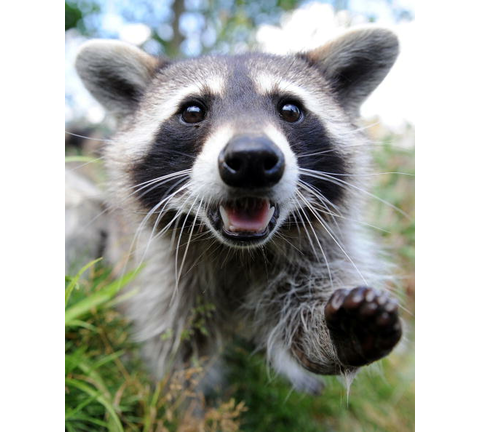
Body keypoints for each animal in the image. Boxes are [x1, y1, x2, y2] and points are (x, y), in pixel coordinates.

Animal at [75, 26, 404, 392]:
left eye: (291, 110)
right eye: (193, 111)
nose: (252, 159)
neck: (239, 252)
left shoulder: (320, 252)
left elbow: (303, 332)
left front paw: (337, 336)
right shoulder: (160, 274)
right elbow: (175, 353)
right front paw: (183, 402)